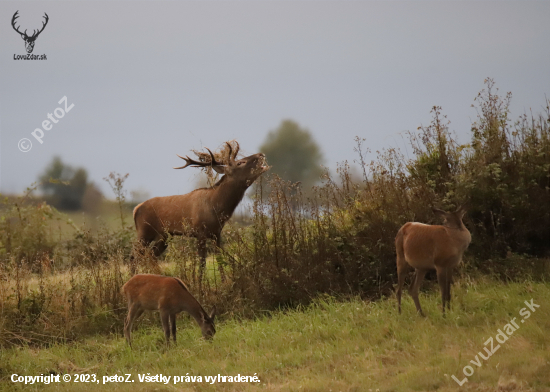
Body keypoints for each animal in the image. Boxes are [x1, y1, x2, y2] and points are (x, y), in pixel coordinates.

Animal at [134, 141, 272, 284]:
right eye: (240, 163)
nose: (261, 154)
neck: (217, 208)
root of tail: (136, 208)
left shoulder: (216, 233)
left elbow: (219, 259)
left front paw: (223, 282)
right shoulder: (199, 232)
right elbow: (202, 262)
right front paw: (199, 285)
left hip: (165, 235)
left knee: (151, 254)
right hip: (144, 231)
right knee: (135, 255)